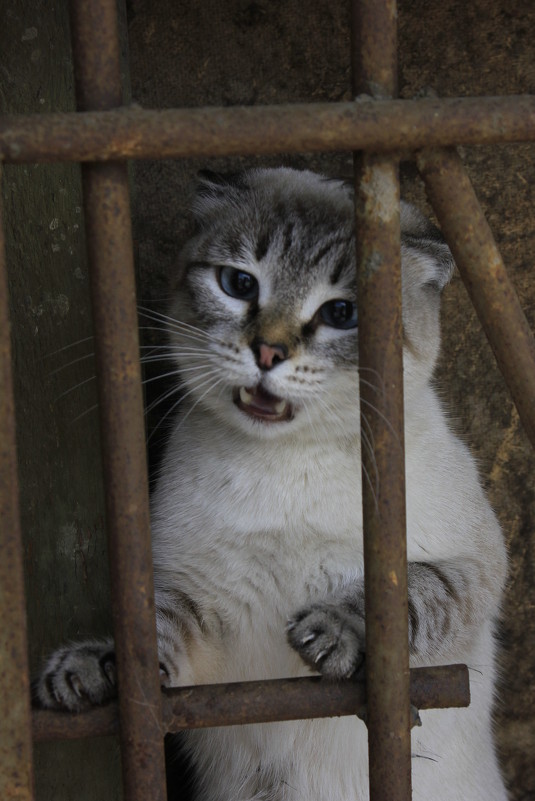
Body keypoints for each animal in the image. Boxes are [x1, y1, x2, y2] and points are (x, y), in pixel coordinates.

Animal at [36, 169, 506, 800]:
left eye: (341, 313)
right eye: (239, 284)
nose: (267, 351)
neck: (286, 466)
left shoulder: (478, 567)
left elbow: (406, 592)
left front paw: (332, 632)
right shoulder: (197, 607)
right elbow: (150, 637)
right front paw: (97, 668)